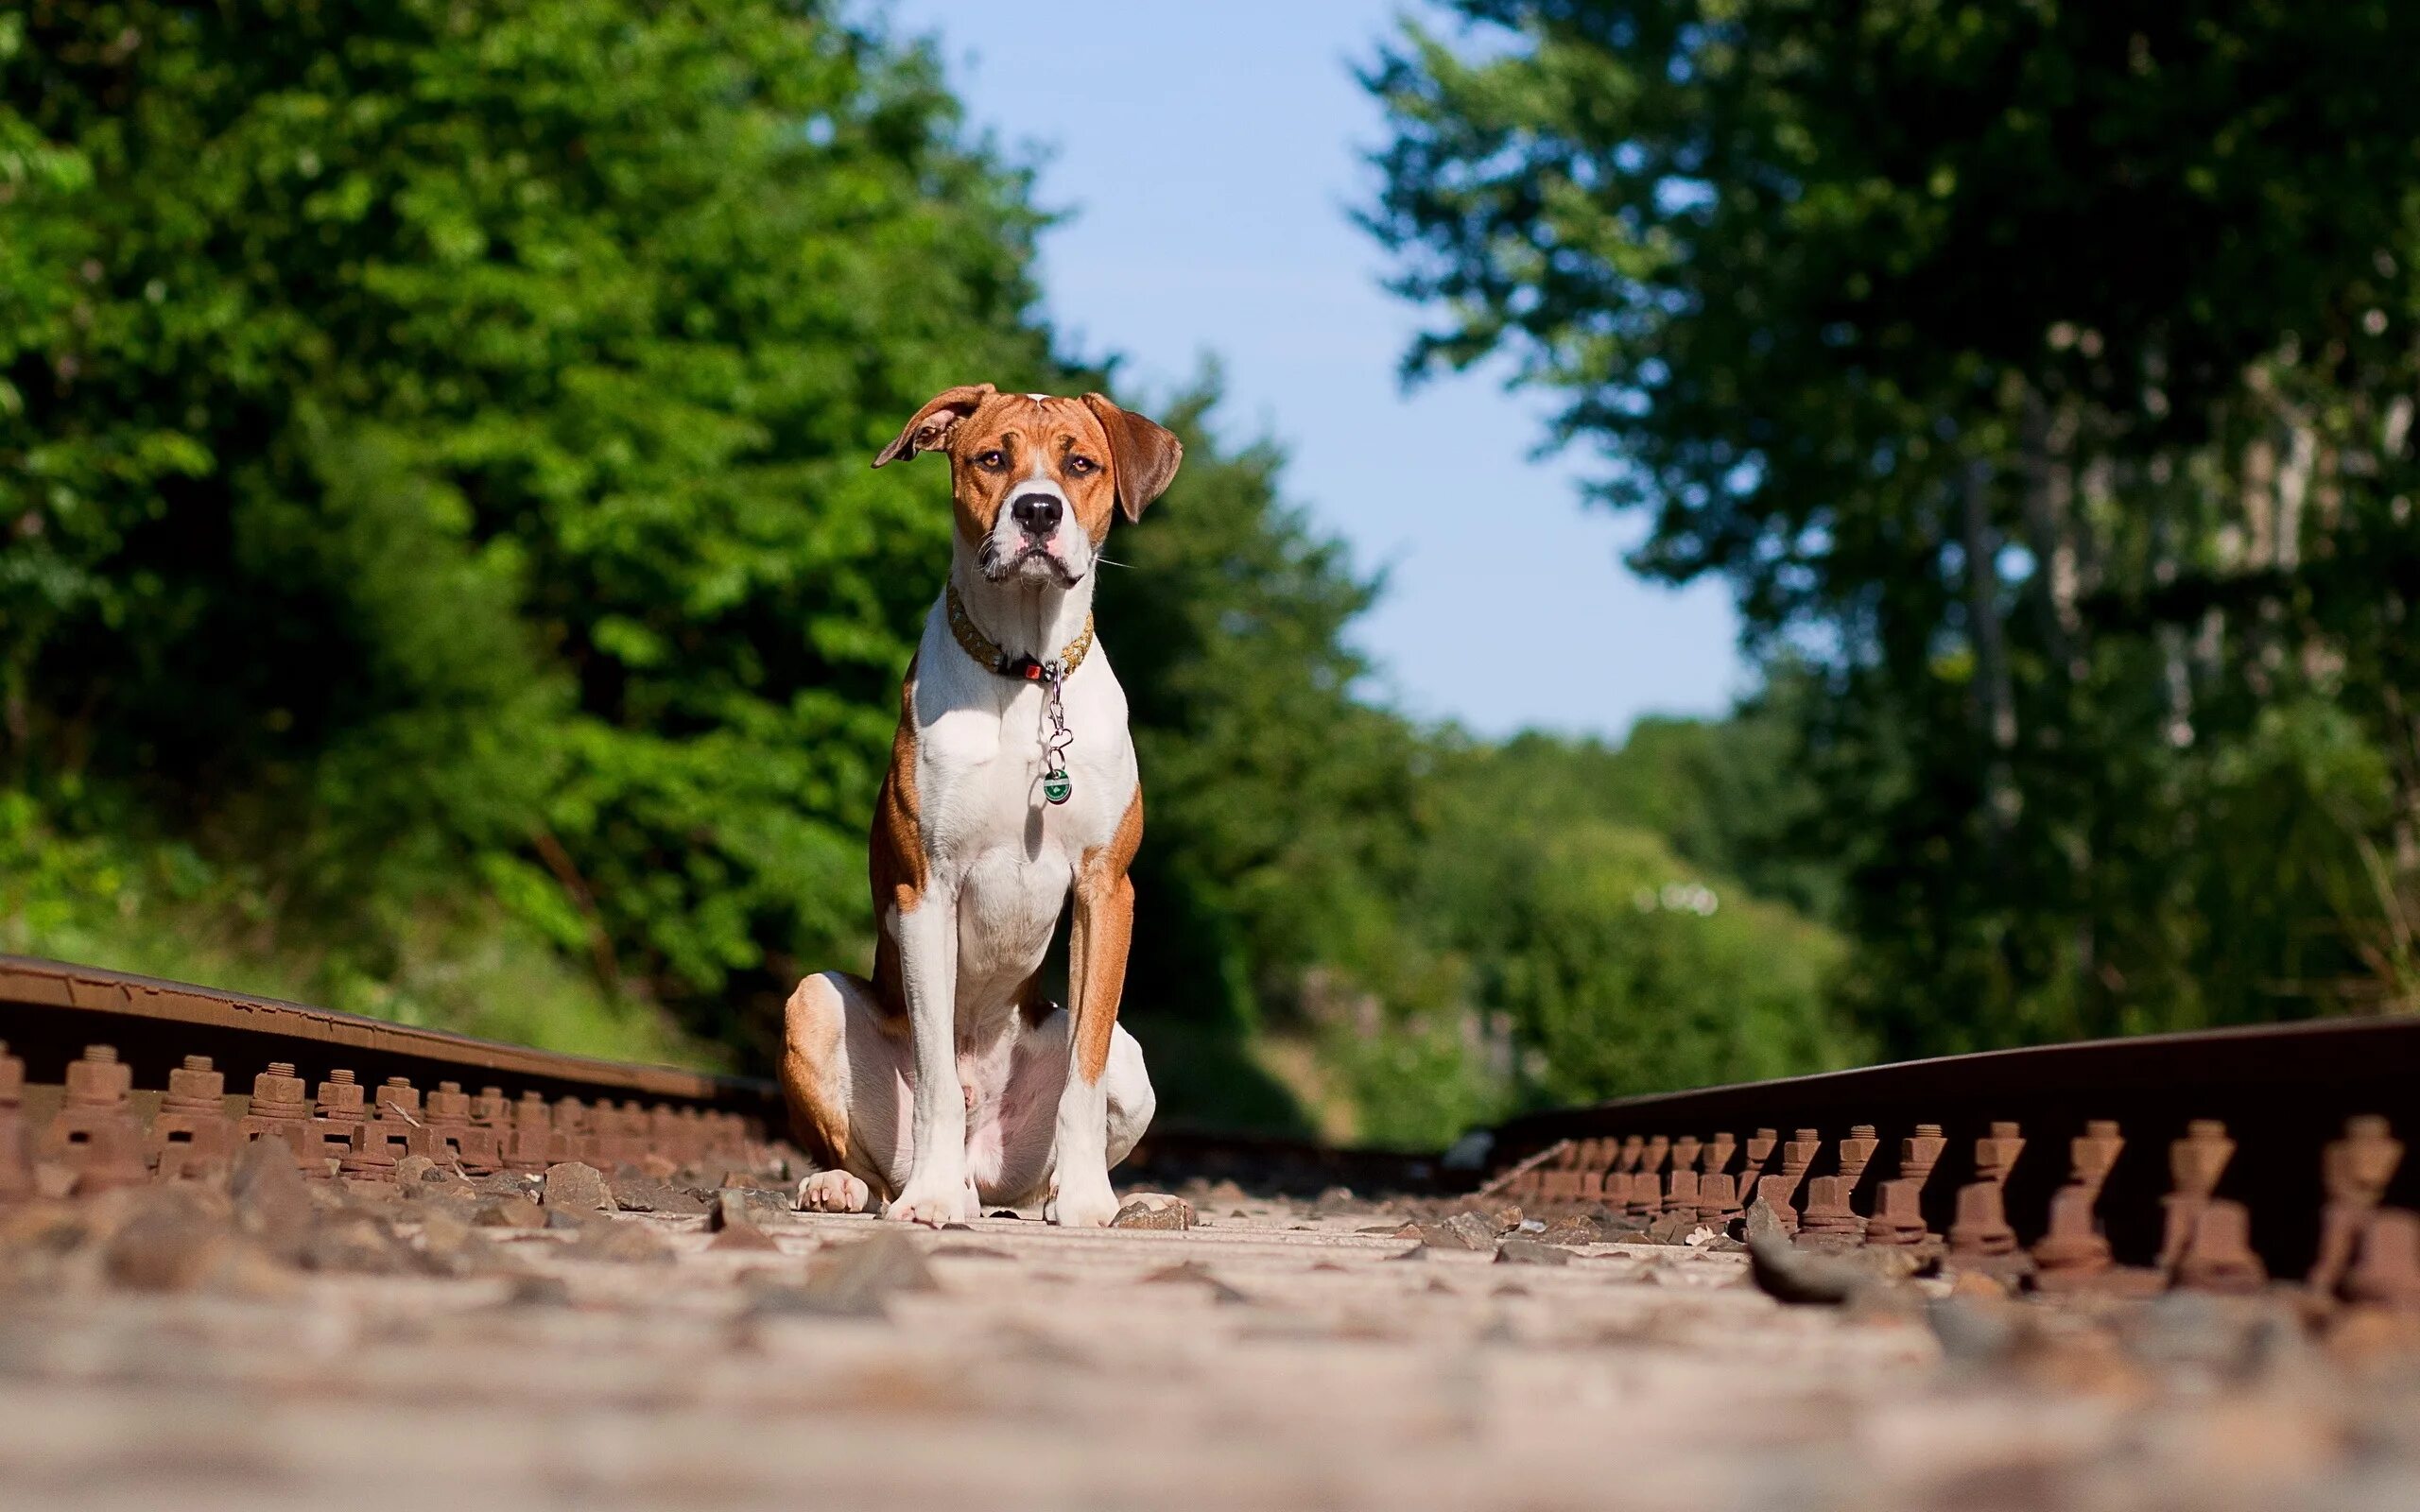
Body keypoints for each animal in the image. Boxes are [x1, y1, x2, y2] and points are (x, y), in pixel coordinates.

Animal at [779, 382, 1185, 1219]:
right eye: (992, 459)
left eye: (1080, 464)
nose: (1037, 511)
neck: (1024, 675)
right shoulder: (926, 888)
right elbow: (935, 1069)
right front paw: (931, 1198)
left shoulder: (1106, 891)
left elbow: (1084, 1073)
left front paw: (1089, 1200)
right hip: (811, 1002)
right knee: (870, 1160)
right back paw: (854, 1185)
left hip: (1132, 1071)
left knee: (1050, 1155)